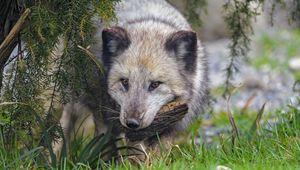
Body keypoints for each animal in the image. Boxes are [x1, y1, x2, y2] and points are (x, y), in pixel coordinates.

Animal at [57, 0, 210, 161]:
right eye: (125, 82)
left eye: (155, 84)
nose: (132, 123)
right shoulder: (104, 114)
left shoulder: (171, 128)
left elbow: (159, 150)